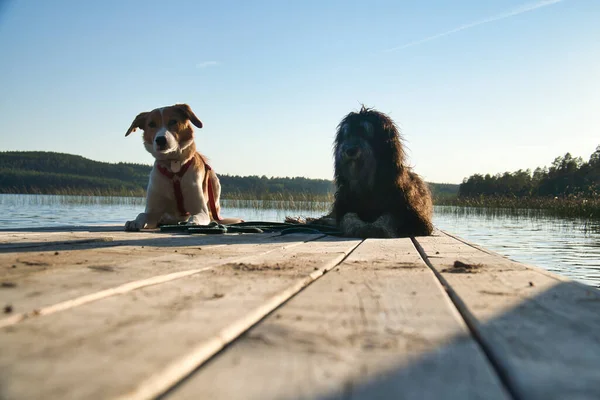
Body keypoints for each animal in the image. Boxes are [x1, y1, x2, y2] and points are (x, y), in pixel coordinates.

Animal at [124, 103, 239, 231]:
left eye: (173, 121)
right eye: (151, 124)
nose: (160, 140)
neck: (173, 165)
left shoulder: (201, 211)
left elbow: (196, 216)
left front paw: (194, 222)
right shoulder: (153, 211)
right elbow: (142, 214)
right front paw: (134, 221)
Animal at [328, 106, 432, 238]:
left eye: (366, 132)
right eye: (346, 134)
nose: (350, 150)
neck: (370, 187)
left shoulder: (411, 214)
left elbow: (389, 216)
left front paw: (378, 227)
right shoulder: (345, 205)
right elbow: (348, 217)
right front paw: (357, 227)